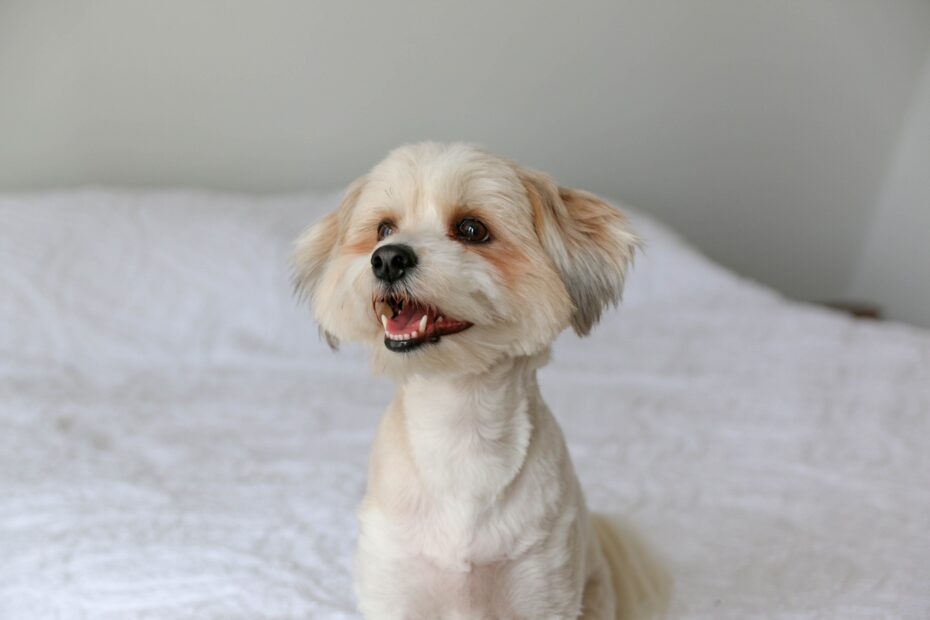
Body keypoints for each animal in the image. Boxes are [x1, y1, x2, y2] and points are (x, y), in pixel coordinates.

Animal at [294, 143, 664, 616]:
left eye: (471, 229)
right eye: (383, 229)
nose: (388, 257)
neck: (458, 428)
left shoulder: (542, 588)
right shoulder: (395, 582)